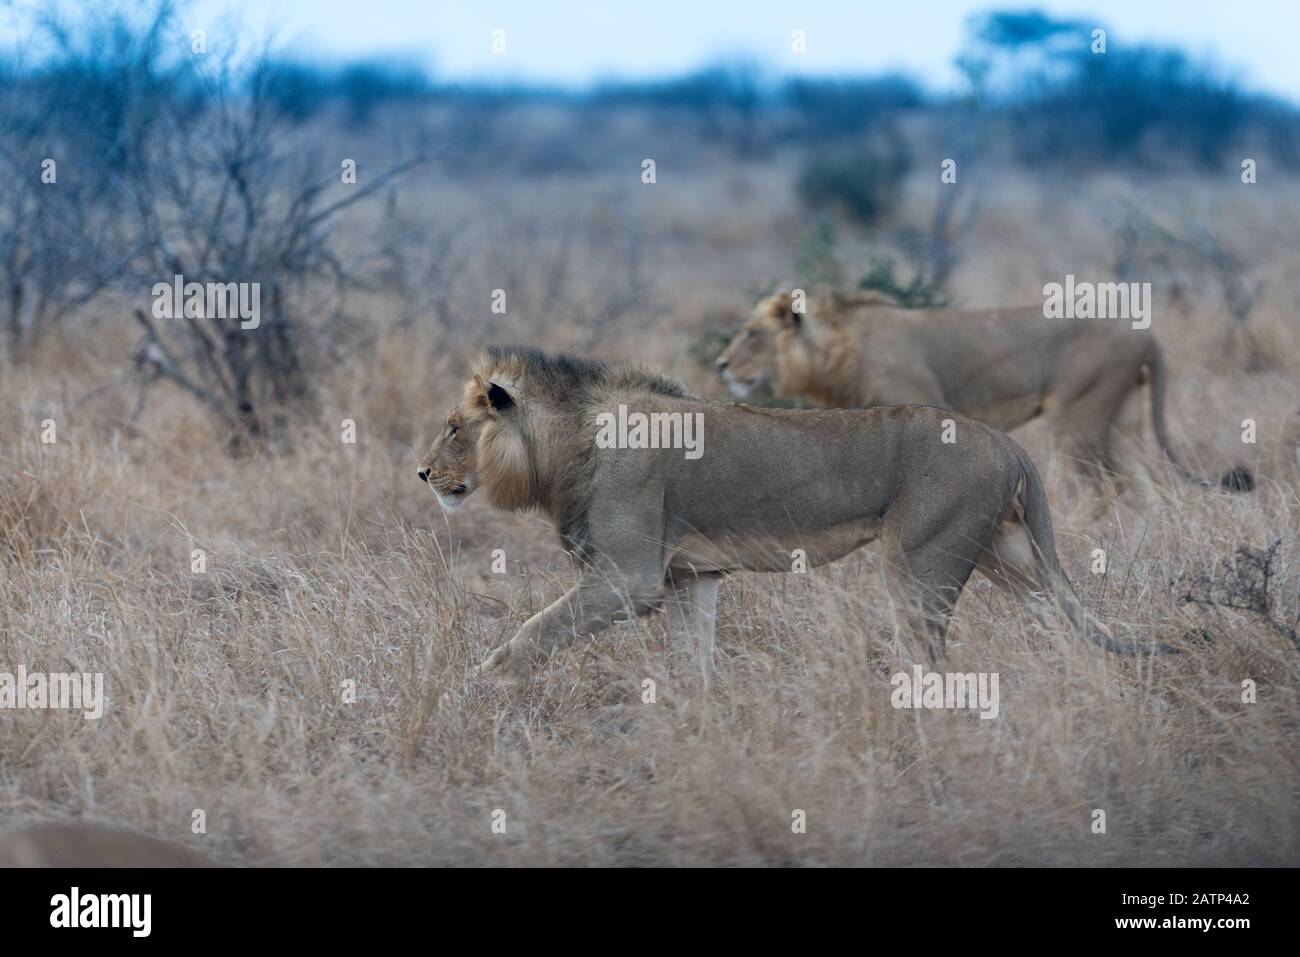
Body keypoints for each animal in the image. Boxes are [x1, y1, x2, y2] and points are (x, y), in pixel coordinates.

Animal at [418, 347, 1163, 682]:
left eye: (454, 428)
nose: (423, 474)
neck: (567, 443)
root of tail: (1011, 445)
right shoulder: (690, 578)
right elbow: (694, 662)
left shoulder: (629, 579)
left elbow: (531, 632)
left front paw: (479, 686)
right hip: (1006, 554)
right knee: (1063, 621)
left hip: (922, 559)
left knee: (931, 656)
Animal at [716, 289, 1253, 491]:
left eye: (753, 334)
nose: (720, 365)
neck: (839, 354)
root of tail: (1146, 332)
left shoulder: (926, 408)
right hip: (1119, 417)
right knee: (1136, 484)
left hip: (1078, 414)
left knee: (1097, 484)